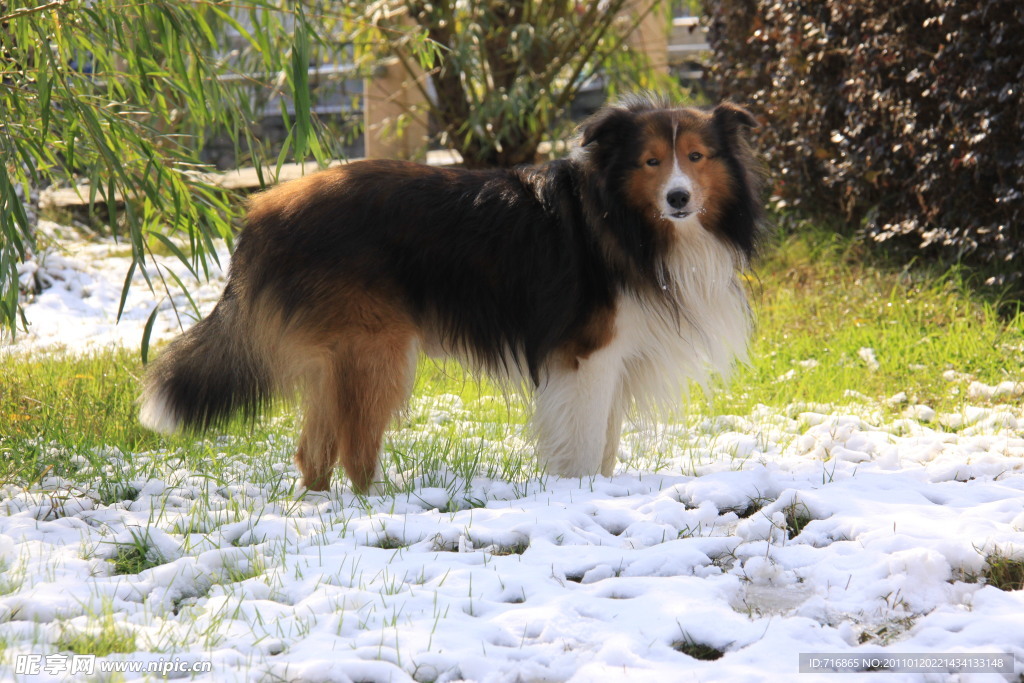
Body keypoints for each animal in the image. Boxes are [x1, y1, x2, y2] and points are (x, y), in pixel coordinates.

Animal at [146, 94, 770, 491]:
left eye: (697, 157)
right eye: (650, 161)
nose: (679, 199)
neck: (626, 220)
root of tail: (262, 211)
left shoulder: (614, 360)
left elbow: (606, 446)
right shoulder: (588, 358)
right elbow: (586, 444)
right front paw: (581, 498)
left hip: (340, 355)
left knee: (314, 451)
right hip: (378, 350)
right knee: (355, 450)